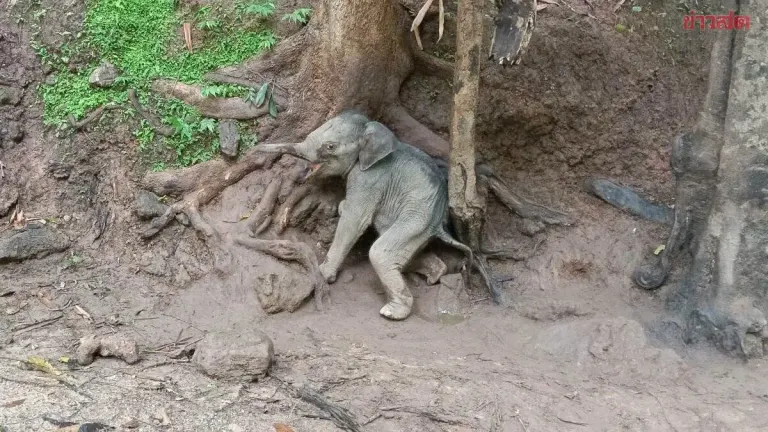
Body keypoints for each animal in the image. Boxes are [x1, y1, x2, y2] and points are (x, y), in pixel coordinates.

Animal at [255, 111, 473, 320]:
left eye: (330, 146)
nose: (255, 149)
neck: (371, 130)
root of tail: (440, 222)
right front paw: (341, 207)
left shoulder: (369, 179)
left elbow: (354, 220)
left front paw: (323, 274)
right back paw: (434, 275)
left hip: (417, 217)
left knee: (380, 253)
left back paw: (392, 313)